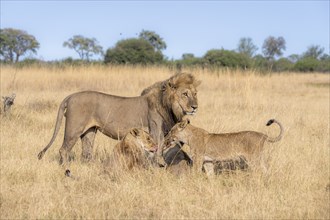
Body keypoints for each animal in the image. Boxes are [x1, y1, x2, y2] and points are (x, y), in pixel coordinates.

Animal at [37, 72, 200, 165]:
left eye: (195, 94)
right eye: (185, 94)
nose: (195, 107)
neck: (169, 106)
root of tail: (70, 96)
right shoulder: (156, 133)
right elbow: (156, 154)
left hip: (89, 132)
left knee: (86, 153)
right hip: (73, 130)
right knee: (63, 150)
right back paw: (66, 169)